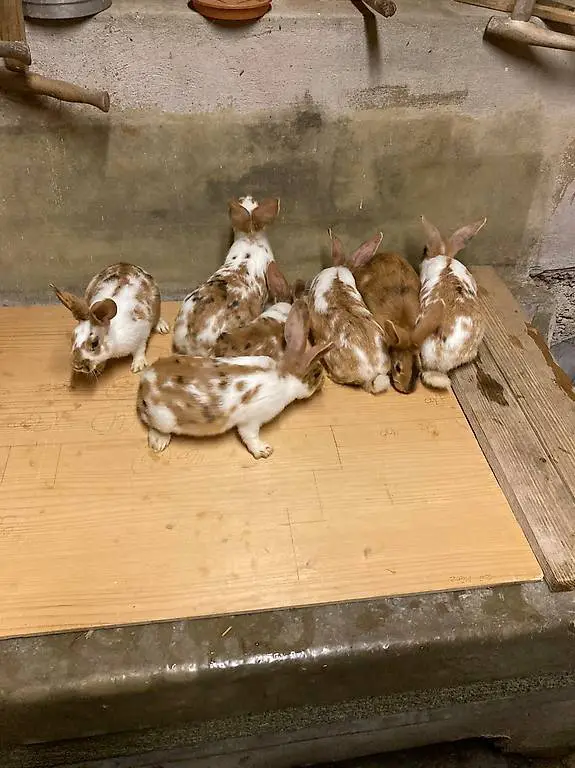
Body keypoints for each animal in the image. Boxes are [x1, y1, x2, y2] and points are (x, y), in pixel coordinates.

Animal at [137, 300, 332, 459]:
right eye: (316, 374)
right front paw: (264, 450)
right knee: (154, 427)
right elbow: (249, 437)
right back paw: (159, 442)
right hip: (163, 419)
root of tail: (146, 380)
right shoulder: (251, 421)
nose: (323, 383)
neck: (283, 375)